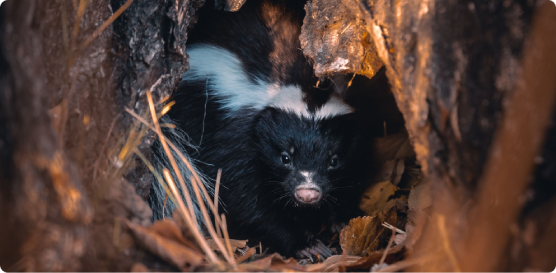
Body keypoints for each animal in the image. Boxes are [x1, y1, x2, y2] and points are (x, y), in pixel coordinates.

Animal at [149, 0, 382, 258]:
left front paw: (340, 219)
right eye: (285, 158)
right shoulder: (234, 137)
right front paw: (305, 243)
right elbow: (245, 199)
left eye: (334, 160)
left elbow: (353, 174)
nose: (307, 193)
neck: (301, 80)